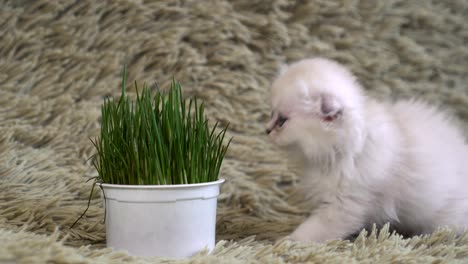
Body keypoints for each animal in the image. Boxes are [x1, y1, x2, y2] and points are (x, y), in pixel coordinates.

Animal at [266, 57, 468, 243]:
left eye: (282, 121)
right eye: (272, 114)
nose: (266, 130)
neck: (345, 150)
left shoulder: (345, 205)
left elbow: (313, 230)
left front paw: (287, 241)